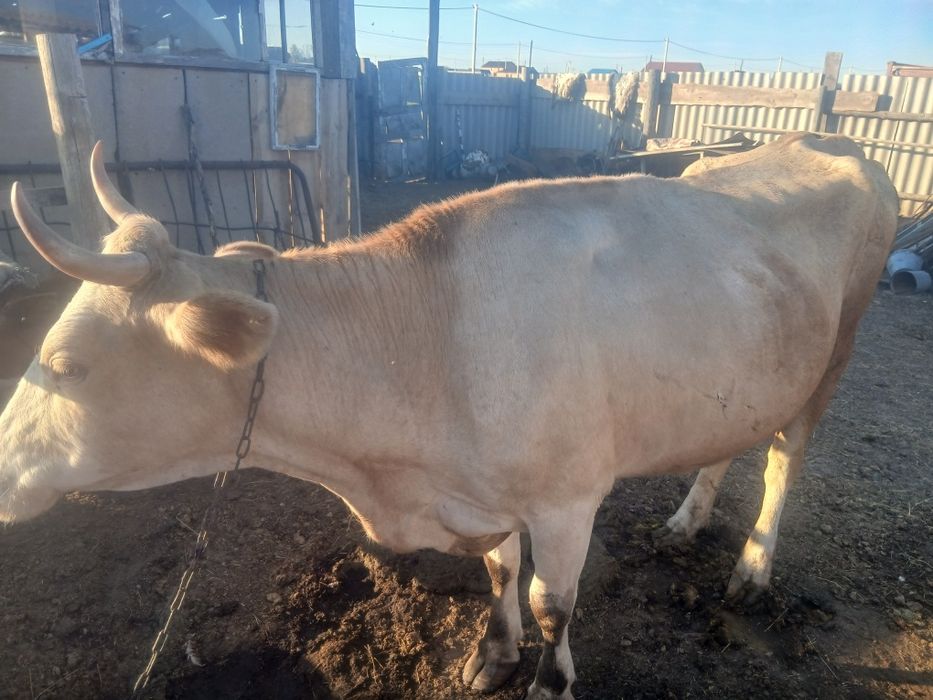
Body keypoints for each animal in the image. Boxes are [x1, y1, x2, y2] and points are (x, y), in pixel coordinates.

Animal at [0, 134, 897, 698]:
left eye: (68, 364)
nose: (3, 475)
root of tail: (829, 140)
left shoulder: (567, 497)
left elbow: (550, 601)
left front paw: (548, 683)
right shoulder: (481, 493)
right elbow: (500, 575)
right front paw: (491, 659)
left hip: (836, 352)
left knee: (783, 459)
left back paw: (752, 568)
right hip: (751, 367)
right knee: (730, 441)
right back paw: (685, 520)